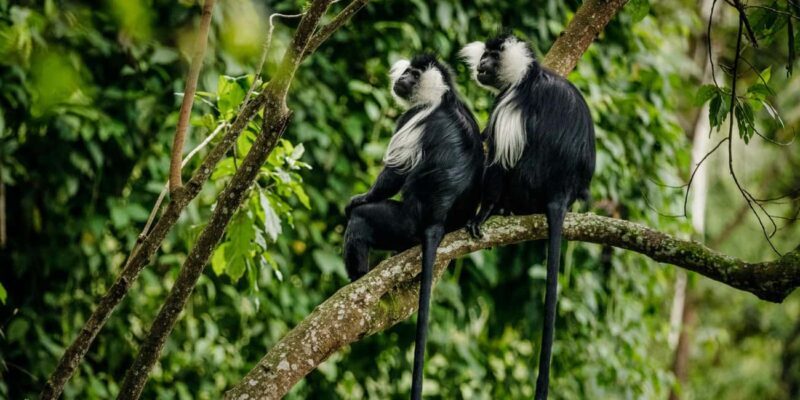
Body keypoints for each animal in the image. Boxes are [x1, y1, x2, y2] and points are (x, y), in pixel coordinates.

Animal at [343, 54, 483, 400]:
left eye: (414, 74)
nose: (402, 78)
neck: (442, 97)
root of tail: (436, 220)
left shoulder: (412, 118)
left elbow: (393, 174)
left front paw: (360, 198)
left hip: (402, 223)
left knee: (362, 221)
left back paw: (357, 277)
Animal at [460, 33, 596, 400]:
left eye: (492, 58)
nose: (481, 65)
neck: (527, 75)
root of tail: (560, 192)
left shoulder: (510, 103)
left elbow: (498, 160)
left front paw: (483, 213)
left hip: (526, 183)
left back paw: (499, 209)